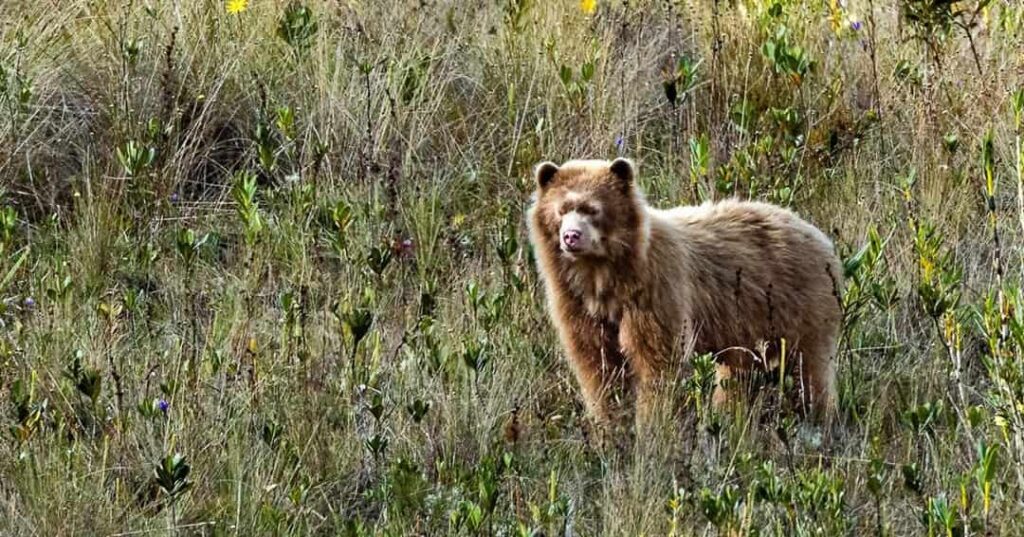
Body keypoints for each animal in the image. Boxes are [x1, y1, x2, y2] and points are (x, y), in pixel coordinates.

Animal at [526, 158, 842, 429]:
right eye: (561, 209)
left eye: (593, 209)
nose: (571, 236)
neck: (604, 276)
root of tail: (818, 234)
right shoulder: (577, 304)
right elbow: (597, 362)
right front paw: (610, 424)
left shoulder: (655, 289)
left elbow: (657, 361)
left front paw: (652, 425)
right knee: (738, 378)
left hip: (800, 305)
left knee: (807, 370)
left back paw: (818, 418)